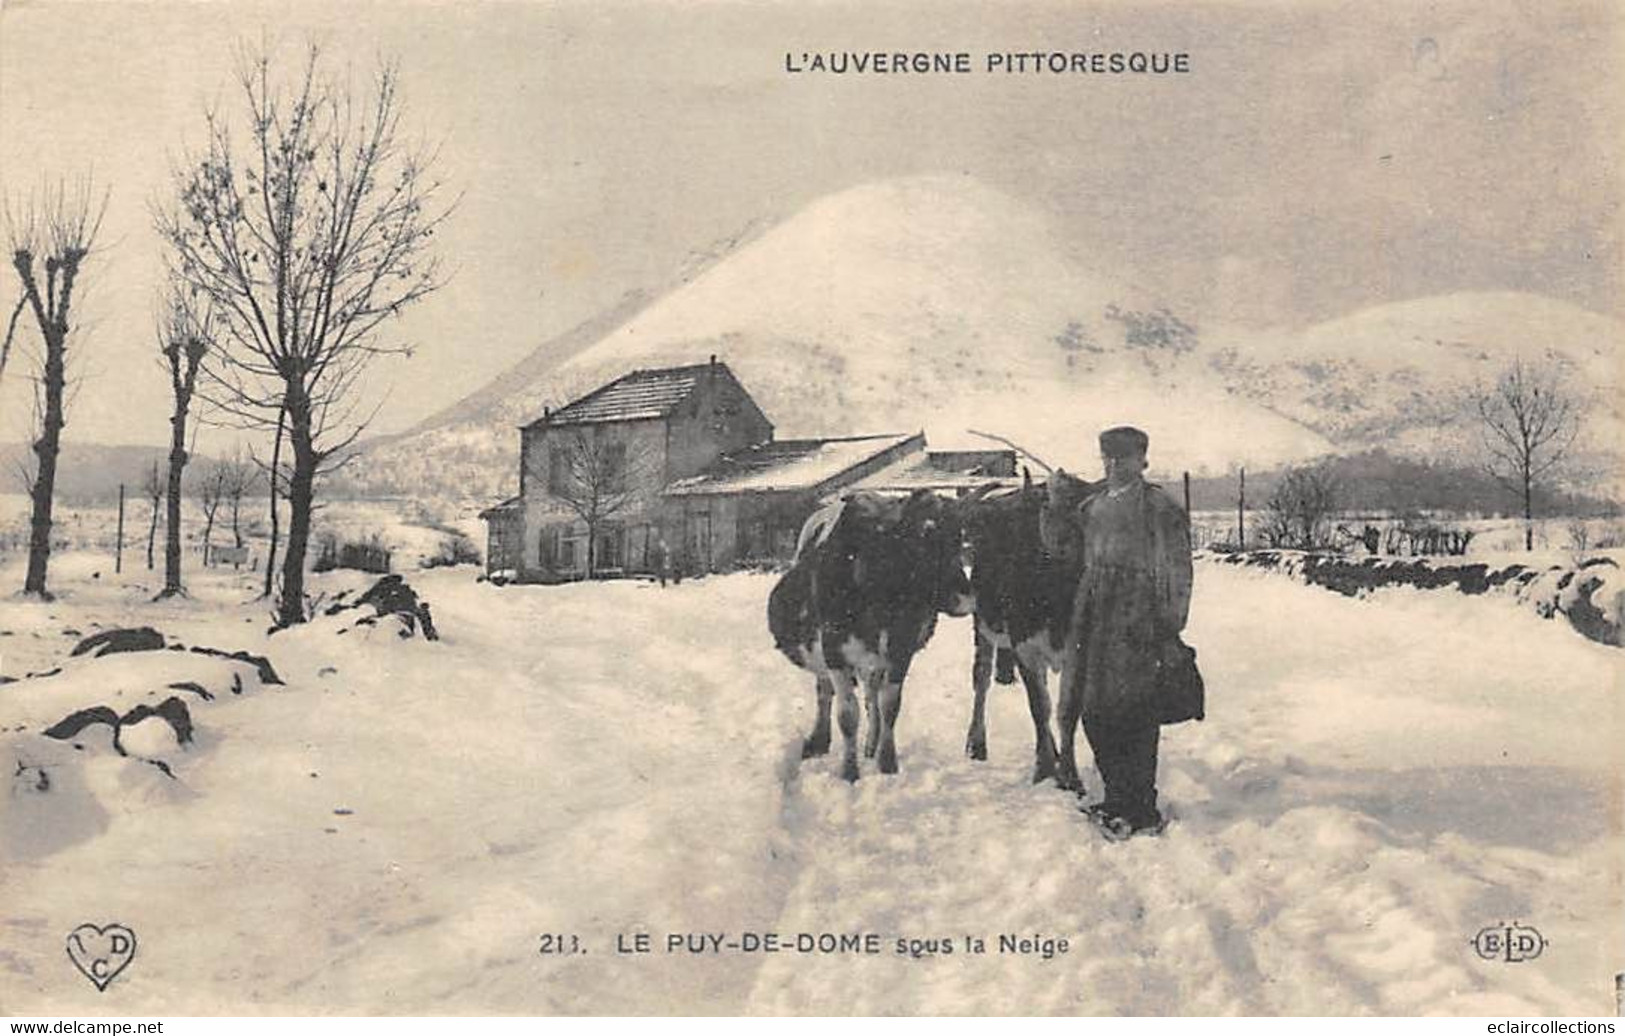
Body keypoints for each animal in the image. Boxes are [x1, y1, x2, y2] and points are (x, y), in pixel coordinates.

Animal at [763, 490, 968, 782]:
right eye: (922, 541)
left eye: (958, 540)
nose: (965, 598)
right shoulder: (834, 651)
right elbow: (848, 714)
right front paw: (849, 771)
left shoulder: (901, 651)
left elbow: (890, 705)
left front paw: (887, 763)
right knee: (825, 691)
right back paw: (819, 740)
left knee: (872, 694)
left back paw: (872, 744)